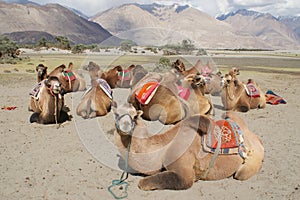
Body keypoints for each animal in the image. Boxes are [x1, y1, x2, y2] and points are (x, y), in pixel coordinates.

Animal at [112, 103, 264, 191]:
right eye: (116, 114)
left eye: (134, 116)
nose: (125, 126)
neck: (163, 149)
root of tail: (256, 137)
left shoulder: (183, 170)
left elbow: (163, 180)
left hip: (251, 160)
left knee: (240, 174)